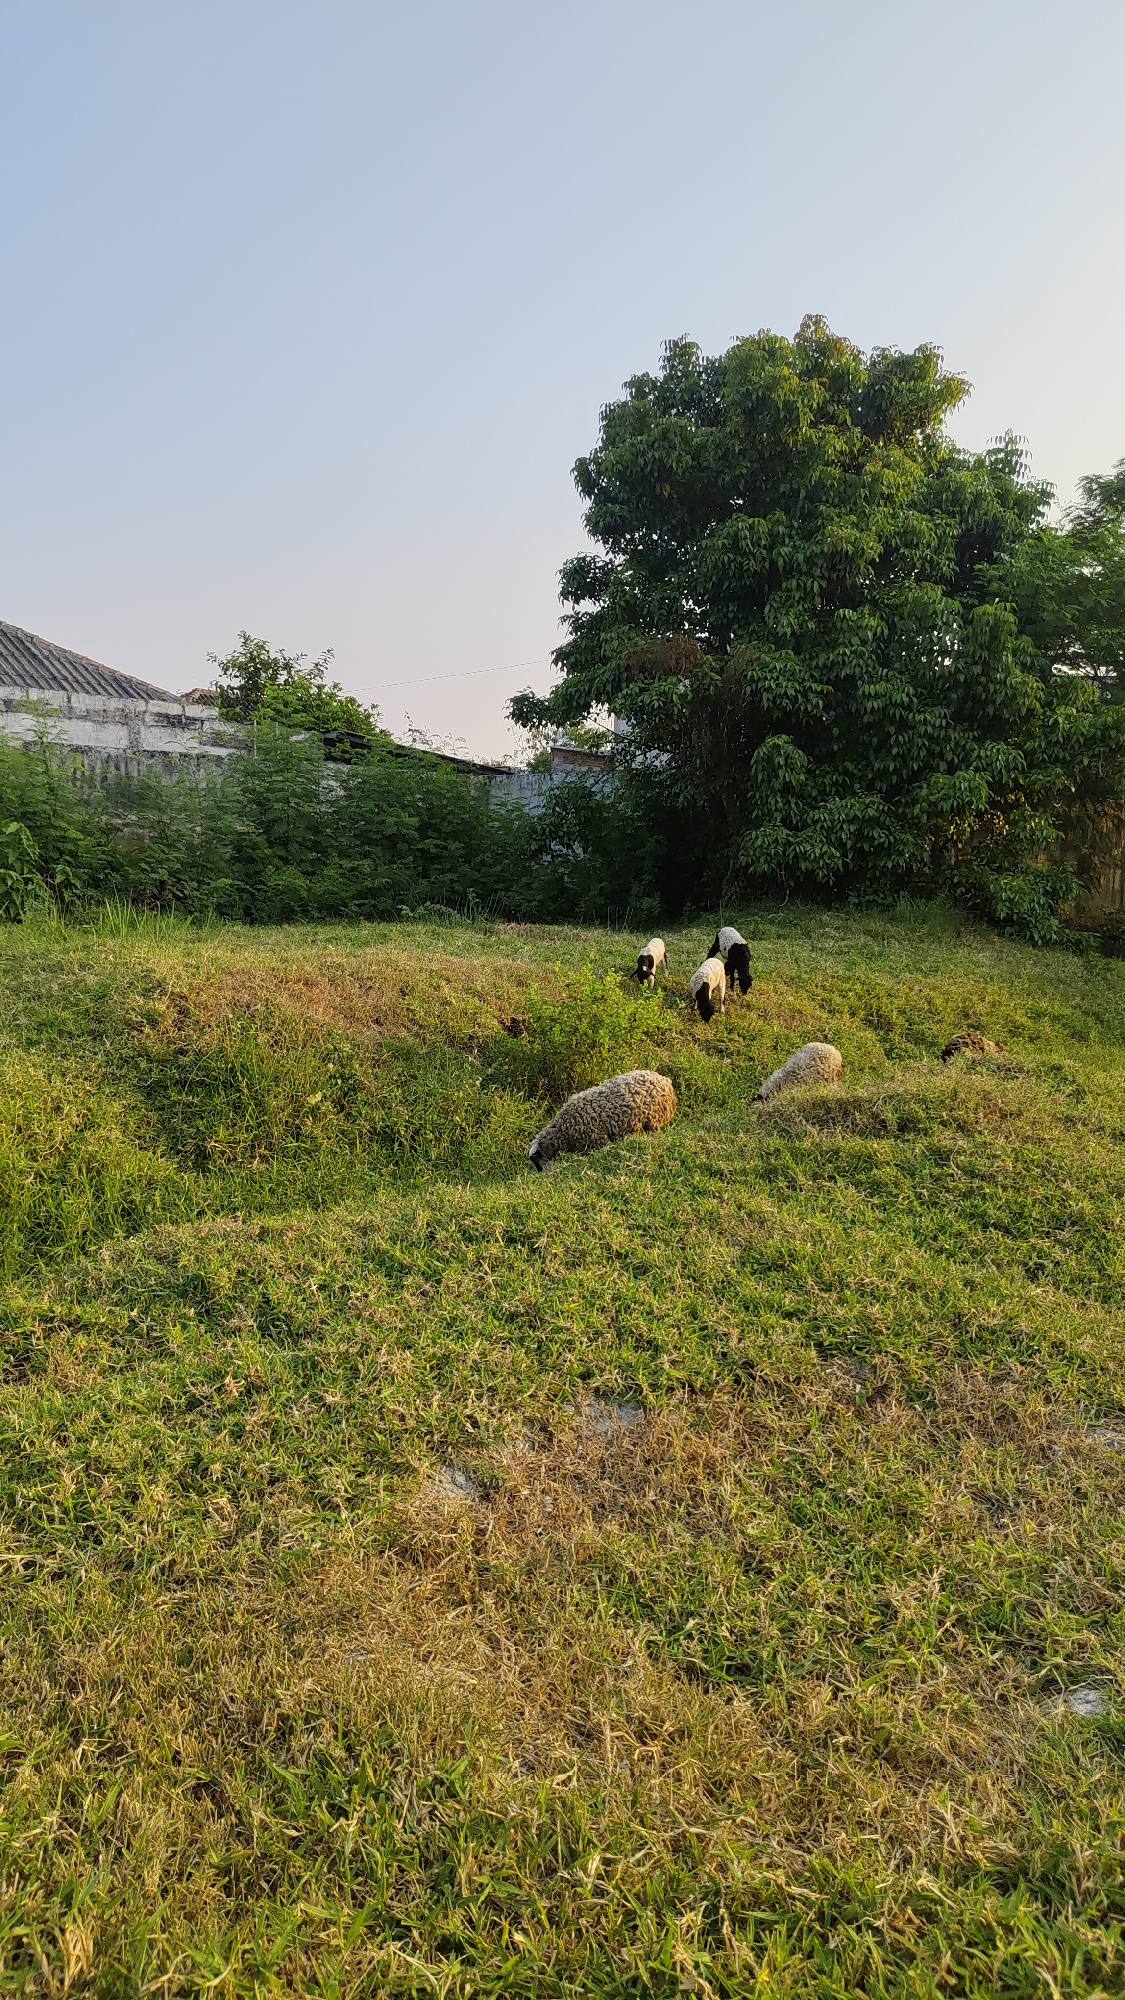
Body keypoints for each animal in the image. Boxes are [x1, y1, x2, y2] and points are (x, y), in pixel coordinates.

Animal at [528, 1068, 677, 1170]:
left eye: (537, 1158)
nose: (542, 1173)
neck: (563, 1130)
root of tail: (665, 1079)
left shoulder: (598, 1141)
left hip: (654, 1121)